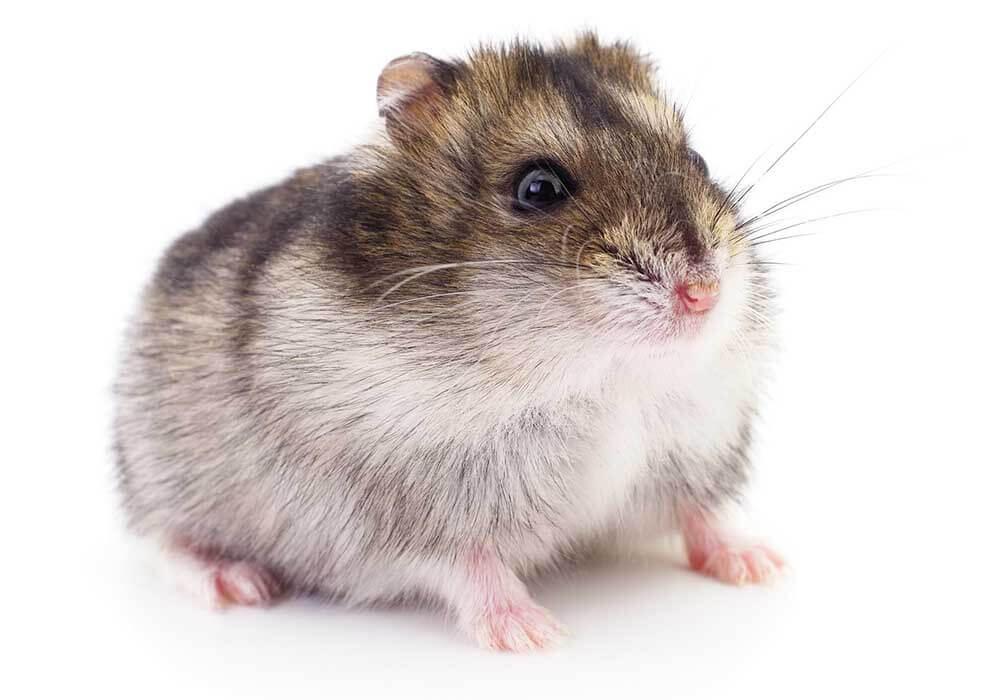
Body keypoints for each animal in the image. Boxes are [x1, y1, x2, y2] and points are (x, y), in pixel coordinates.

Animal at [114, 33, 783, 652]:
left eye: (697, 159)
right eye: (538, 189)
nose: (703, 293)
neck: (596, 380)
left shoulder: (692, 448)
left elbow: (703, 512)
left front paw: (763, 566)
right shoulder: (404, 511)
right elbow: (470, 564)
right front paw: (534, 634)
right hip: (157, 468)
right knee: (162, 538)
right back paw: (235, 582)